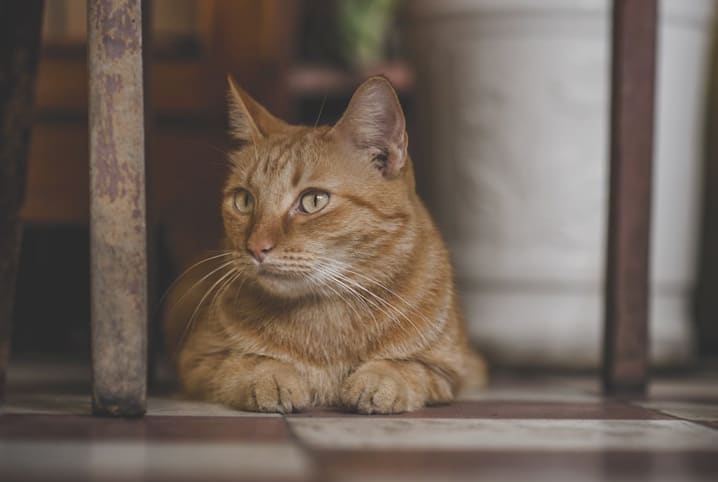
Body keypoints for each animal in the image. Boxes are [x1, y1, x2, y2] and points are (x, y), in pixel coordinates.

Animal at [164, 76, 490, 414]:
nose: (255, 248)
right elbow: (243, 363)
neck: (326, 317)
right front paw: (271, 378)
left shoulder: (451, 369)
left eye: (313, 200)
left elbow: (407, 368)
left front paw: (380, 381)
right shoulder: (196, 361)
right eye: (244, 200)